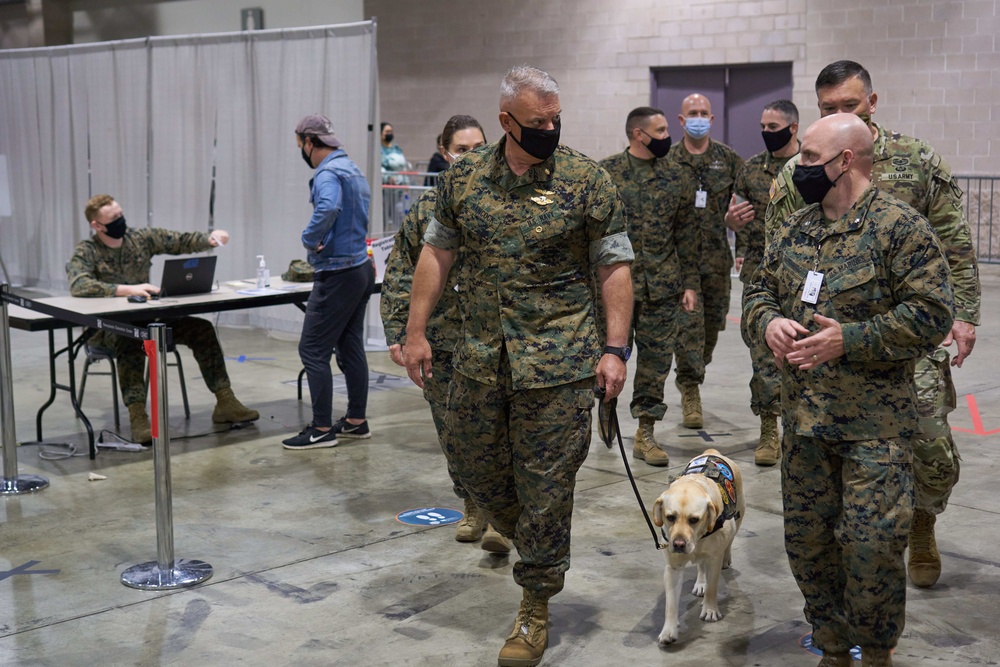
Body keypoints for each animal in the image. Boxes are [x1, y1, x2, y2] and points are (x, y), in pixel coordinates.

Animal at [648, 452, 744, 644]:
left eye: (694, 519)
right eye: (670, 517)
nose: (678, 544)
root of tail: (713, 452)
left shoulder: (714, 560)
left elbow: (713, 587)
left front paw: (710, 610)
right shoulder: (673, 568)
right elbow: (671, 603)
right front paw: (669, 629)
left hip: (739, 516)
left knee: (730, 540)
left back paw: (726, 557)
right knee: (700, 565)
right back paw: (700, 583)